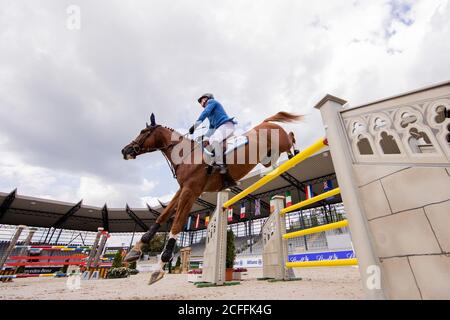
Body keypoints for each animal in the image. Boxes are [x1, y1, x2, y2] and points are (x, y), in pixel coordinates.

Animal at [121, 111, 302, 284]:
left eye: (143, 132)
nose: (125, 150)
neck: (187, 155)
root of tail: (266, 123)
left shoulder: (191, 191)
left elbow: (177, 224)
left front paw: (159, 267)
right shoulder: (182, 189)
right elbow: (163, 215)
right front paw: (134, 251)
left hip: (282, 142)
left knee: (291, 137)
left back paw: (295, 153)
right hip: (267, 157)